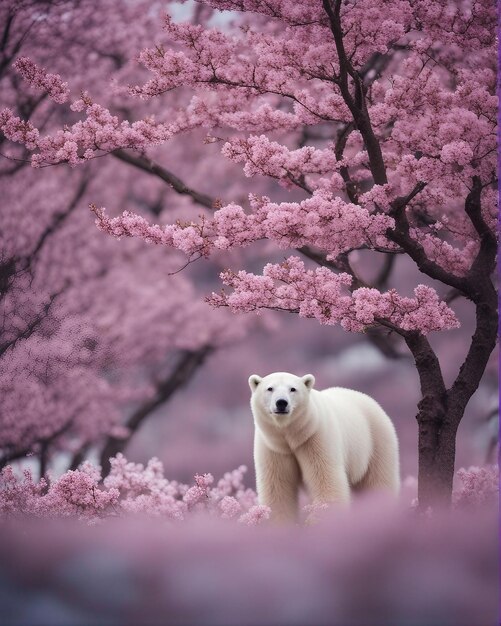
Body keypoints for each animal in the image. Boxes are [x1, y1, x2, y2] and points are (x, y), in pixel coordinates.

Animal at [249, 370, 398, 520]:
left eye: (293, 389)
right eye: (270, 388)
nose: (281, 402)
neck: (292, 435)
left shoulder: (315, 438)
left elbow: (325, 478)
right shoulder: (273, 446)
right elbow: (277, 487)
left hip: (376, 440)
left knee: (378, 480)